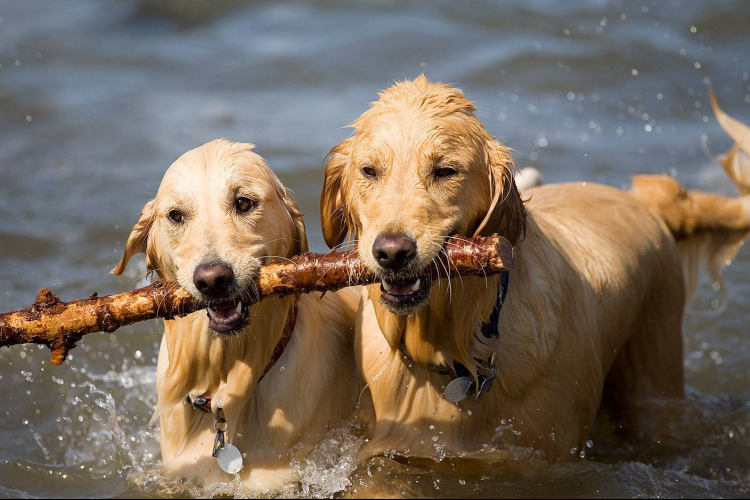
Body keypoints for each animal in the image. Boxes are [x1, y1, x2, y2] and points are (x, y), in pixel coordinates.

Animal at [318, 76, 750, 462]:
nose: (392, 252)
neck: (456, 351)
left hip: (653, 378)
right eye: (369, 171)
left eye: (445, 171)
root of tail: (642, 202)